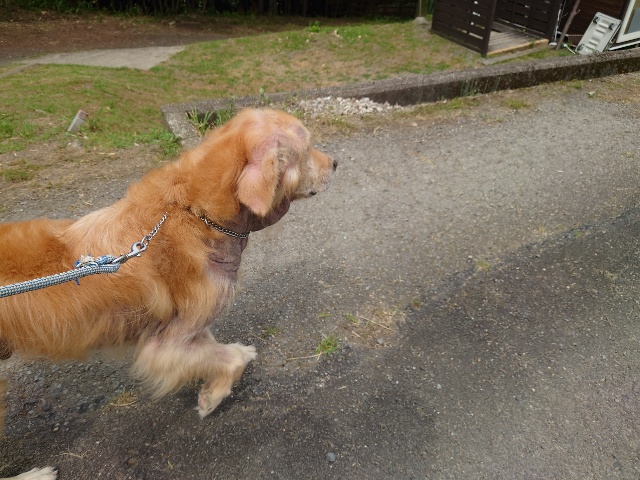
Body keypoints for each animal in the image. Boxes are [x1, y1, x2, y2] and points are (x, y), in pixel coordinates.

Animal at [0, 108, 337, 480]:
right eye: (307, 148)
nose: (336, 163)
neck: (196, 211)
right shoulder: (162, 346)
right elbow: (226, 361)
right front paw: (212, 397)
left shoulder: (191, 323)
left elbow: (217, 347)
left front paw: (237, 354)